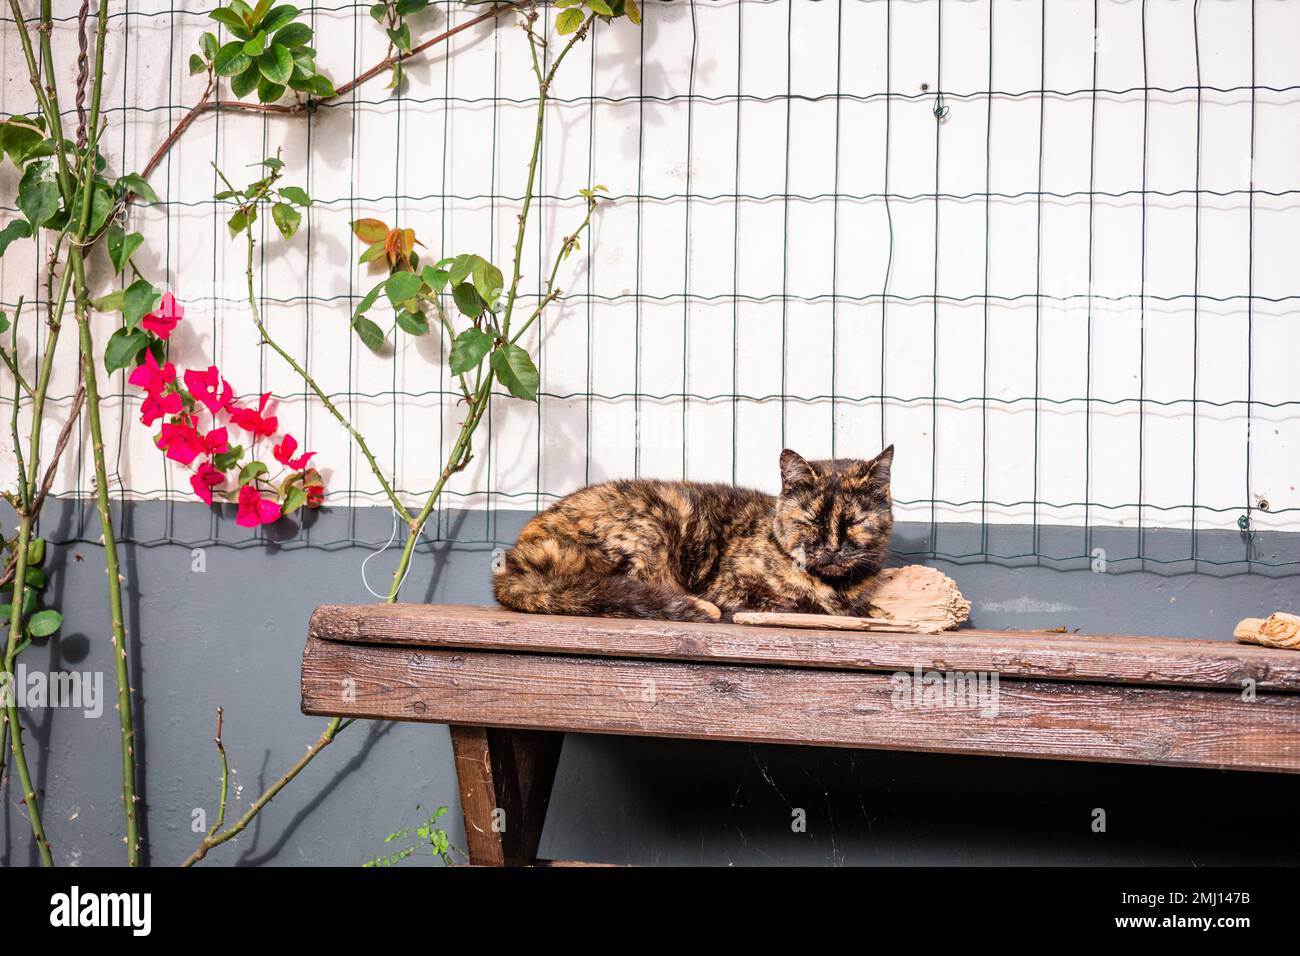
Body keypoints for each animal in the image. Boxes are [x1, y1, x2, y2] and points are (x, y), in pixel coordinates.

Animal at [488, 447, 894, 624]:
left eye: (854, 521)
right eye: (810, 520)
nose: (832, 549)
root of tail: (513, 558)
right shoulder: (731, 586)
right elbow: (794, 602)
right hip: (656, 523)